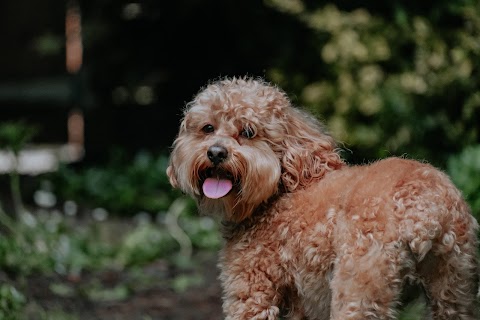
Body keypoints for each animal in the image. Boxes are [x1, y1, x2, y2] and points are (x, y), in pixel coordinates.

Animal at [167, 77, 478, 318]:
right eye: (208, 128)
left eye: (248, 132)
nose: (216, 152)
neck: (277, 193)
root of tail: (424, 206)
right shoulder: (301, 305)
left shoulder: (252, 289)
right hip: (455, 286)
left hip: (357, 289)